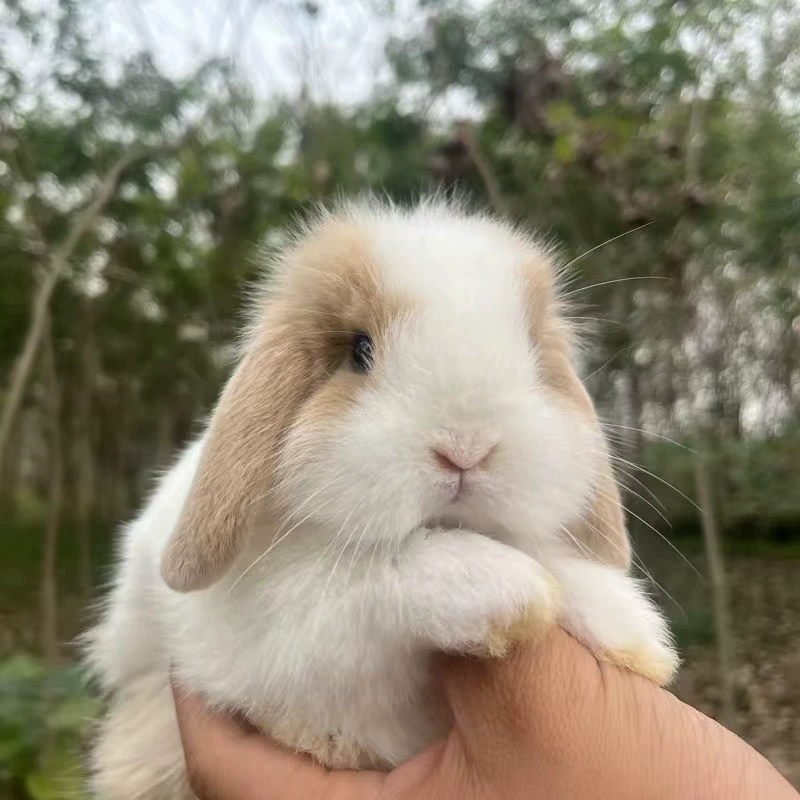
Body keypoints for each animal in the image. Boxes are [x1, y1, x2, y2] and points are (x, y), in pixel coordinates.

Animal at [83, 198, 678, 800]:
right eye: (359, 350)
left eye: (535, 354)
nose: (466, 448)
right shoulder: (290, 628)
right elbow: (380, 576)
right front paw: (514, 589)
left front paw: (635, 631)